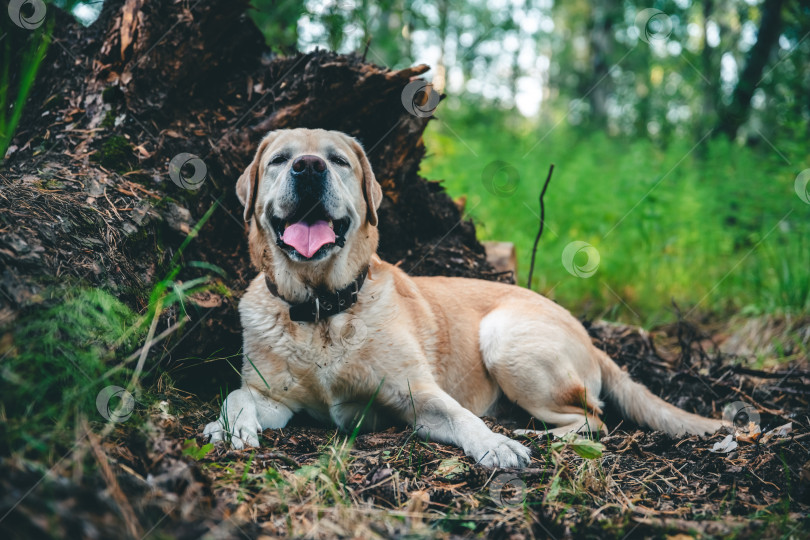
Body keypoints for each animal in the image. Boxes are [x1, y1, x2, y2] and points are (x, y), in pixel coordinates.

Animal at [202, 129, 720, 466]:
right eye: (279, 159)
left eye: (338, 160)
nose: (308, 166)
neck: (322, 308)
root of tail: (589, 338)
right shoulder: (275, 399)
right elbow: (237, 394)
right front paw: (228, 426)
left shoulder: (418, 396)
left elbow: (462, 417)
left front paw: (497, 445)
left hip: (504, 339)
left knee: (594, 418)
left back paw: (530, 432)